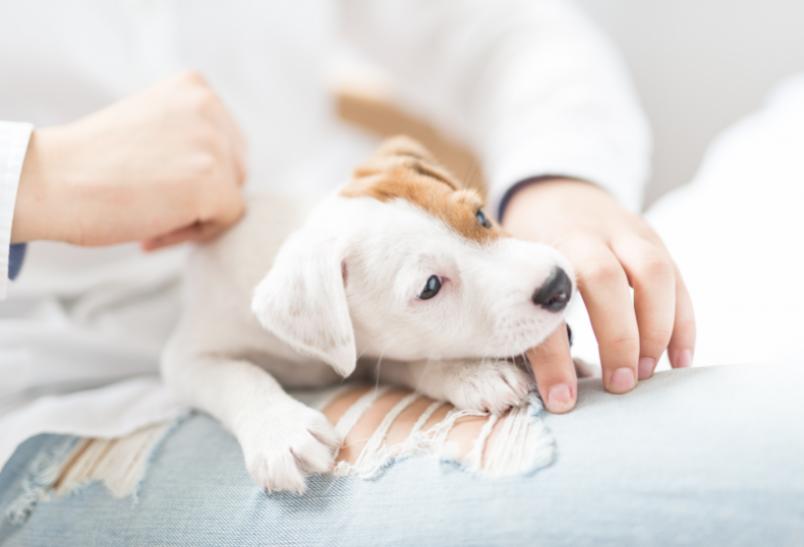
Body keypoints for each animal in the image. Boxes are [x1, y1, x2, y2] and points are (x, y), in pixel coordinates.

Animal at [162, 136, 572, 492]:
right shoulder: (185, 357)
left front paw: (472, 373)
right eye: (430, 287)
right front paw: (281, 430)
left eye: (482, 217)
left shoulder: (367, 355)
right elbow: (238, 374)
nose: (559, 285)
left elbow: (411, 360)